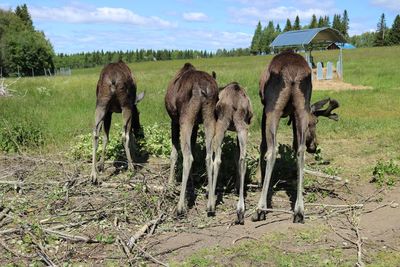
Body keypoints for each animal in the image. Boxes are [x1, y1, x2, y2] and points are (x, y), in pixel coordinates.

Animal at [164, 63, 217, 218]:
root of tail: (203, 88)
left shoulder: (174, 120)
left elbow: (174, 154)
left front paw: (170, 185)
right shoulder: (197, 124)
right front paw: (191, 185)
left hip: (185, 117)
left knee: (188, 157)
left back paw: (180, 207)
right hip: (209, 116)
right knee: (209, 156)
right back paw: (210, 204)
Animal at [212, 82, 253, 224]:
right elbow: (237, 156)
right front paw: (236, 186)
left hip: (221, 122)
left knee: (217, 159)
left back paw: (210, 205)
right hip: (242, 126)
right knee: (243, 159)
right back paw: (240, 210)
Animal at [253, 50, 338, 224]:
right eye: (315, 122)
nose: (314, 145)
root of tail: (292, 73)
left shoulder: (264, 108)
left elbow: (262, 144)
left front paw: (258, 178)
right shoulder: (293, 114)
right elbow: (294, 144)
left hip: (273, 107)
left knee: (272, 150)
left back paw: (261, 208)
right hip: (301, 107)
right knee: (300, 151)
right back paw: (299, 209)